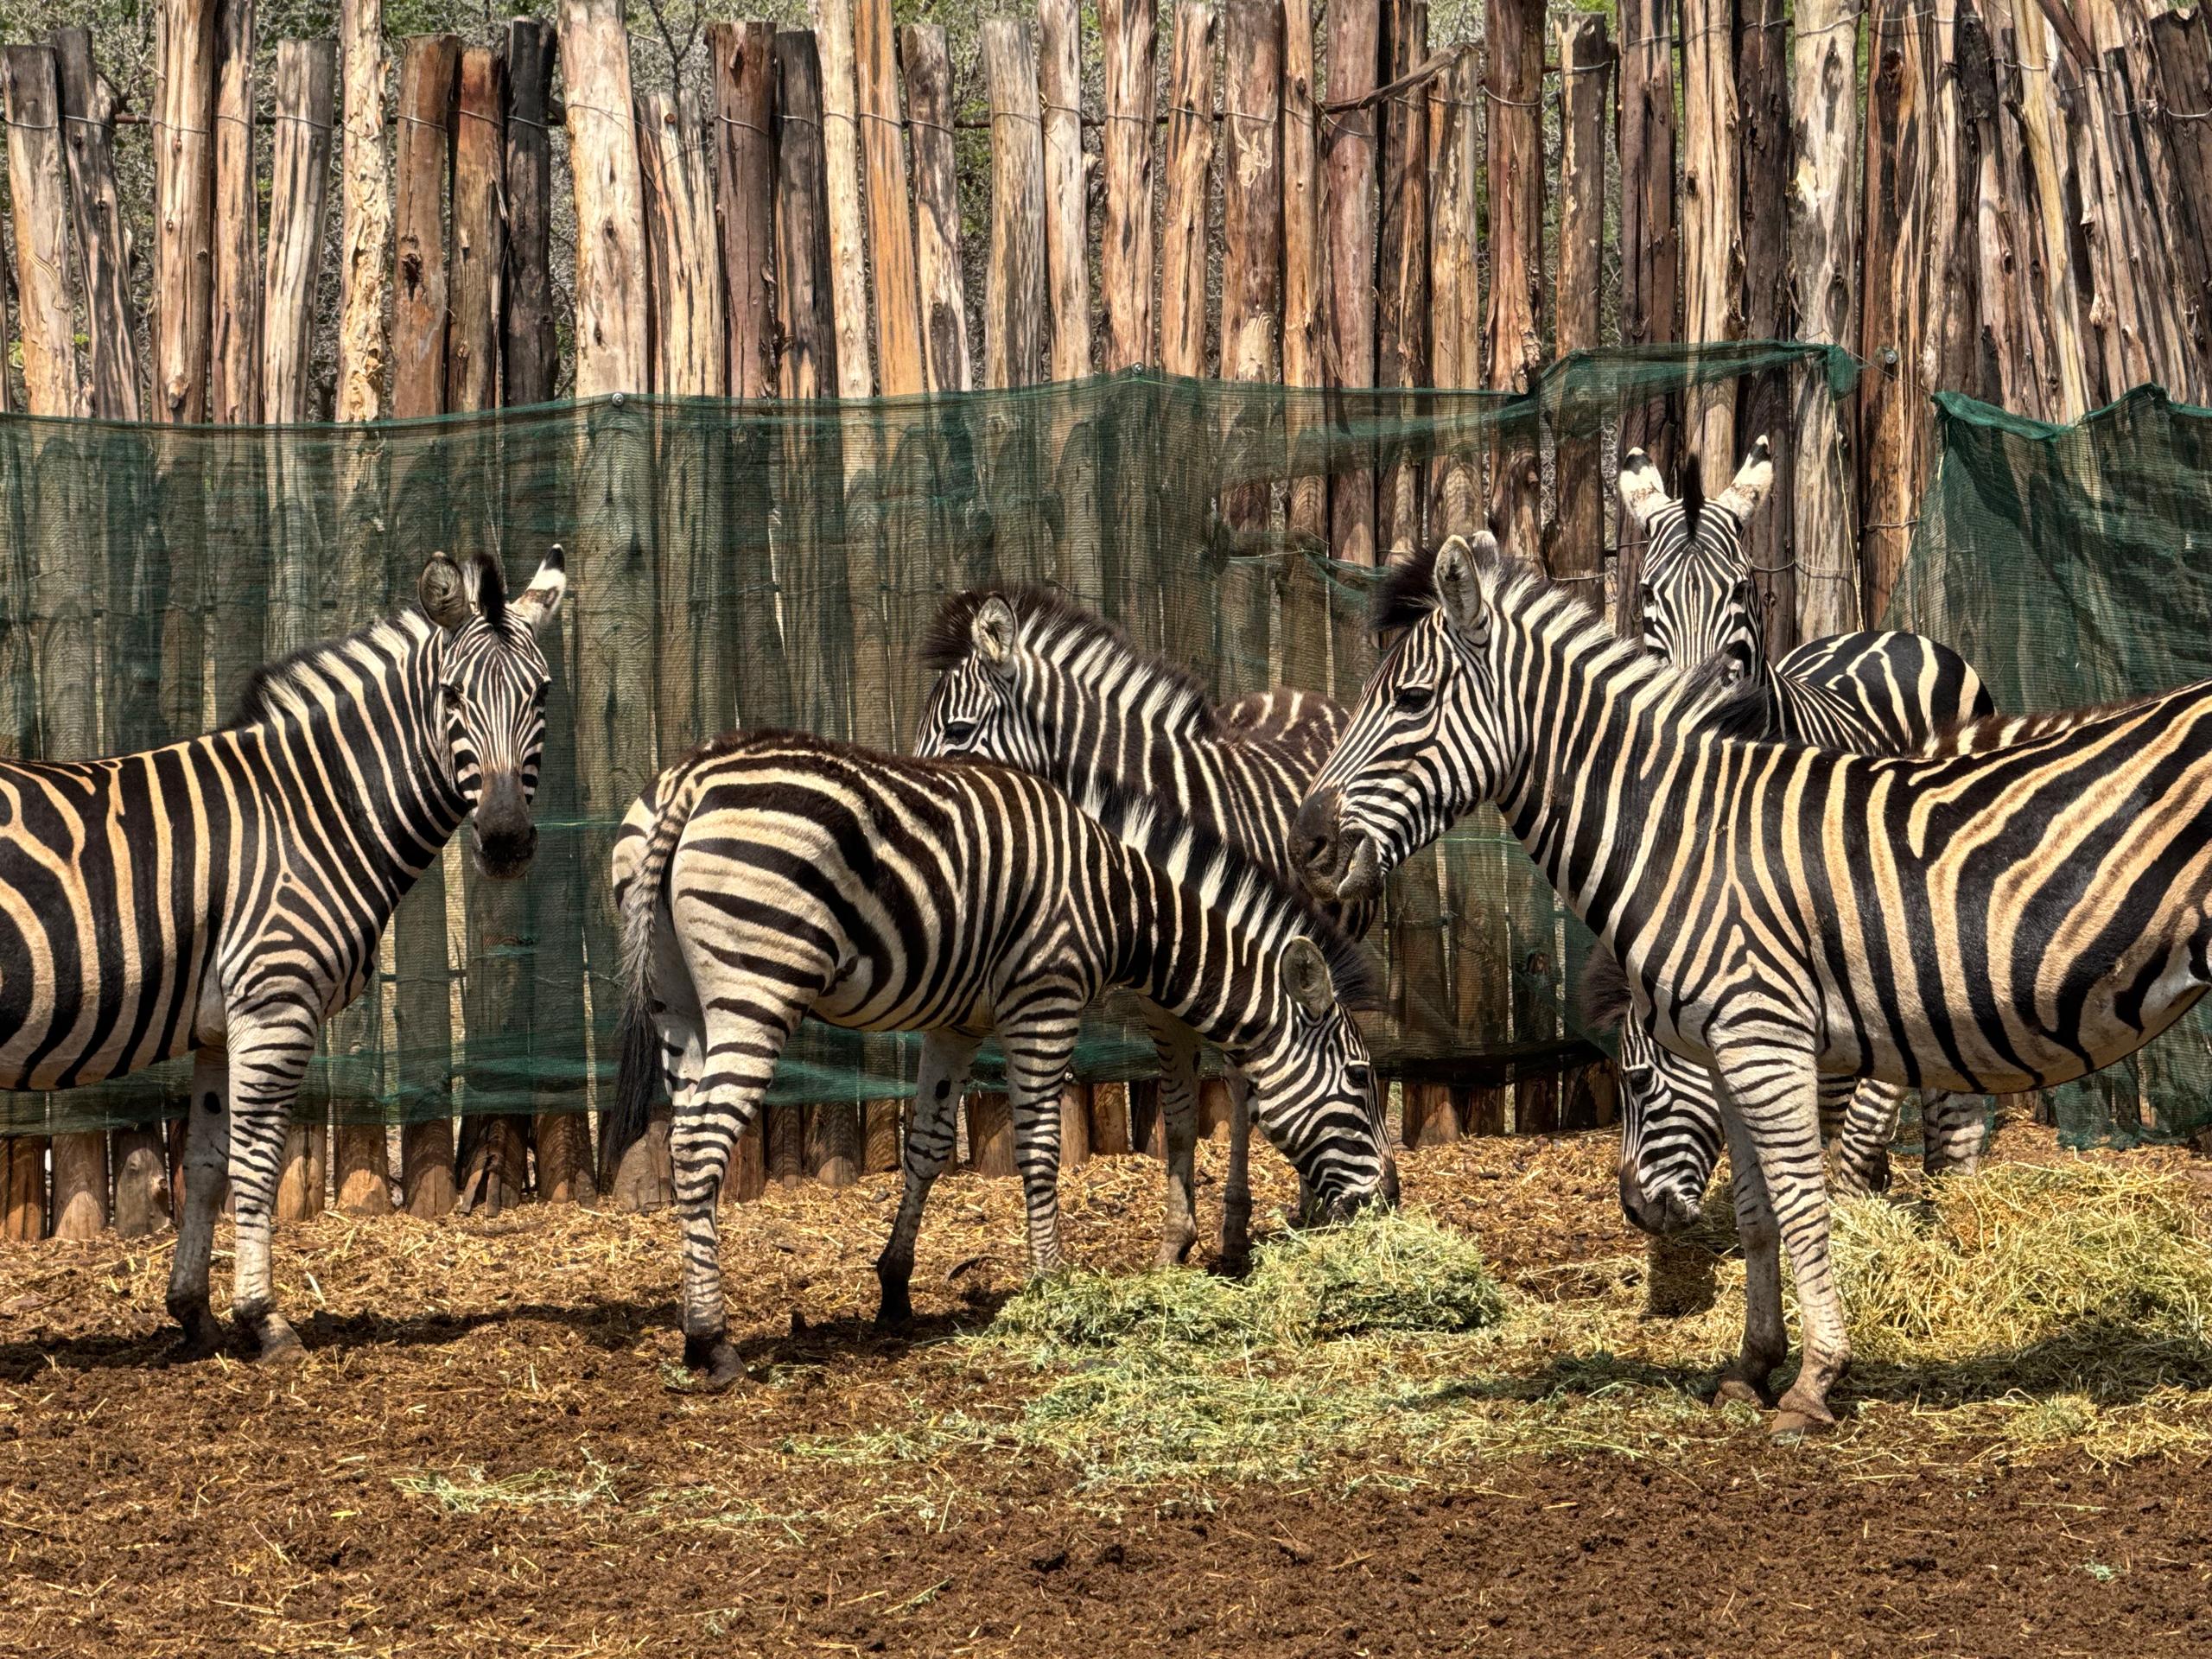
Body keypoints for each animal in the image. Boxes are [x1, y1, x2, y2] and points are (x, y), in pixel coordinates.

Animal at [1, 549, 567, 1360]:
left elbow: (207, 1164)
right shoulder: (277, 1001)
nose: (506, 840)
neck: (314, 812)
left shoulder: (219, 1023)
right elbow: (257, 1161)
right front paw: (264, 1319)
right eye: (453, 696)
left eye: (542, 692)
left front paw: (194, 1313)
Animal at [602, 728, 1389, 1387]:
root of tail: (693, 778)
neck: (1124, 904)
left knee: (683, 1138)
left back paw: (692, 1329)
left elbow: (925, 1148)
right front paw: (1050, 1284)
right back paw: (714, 1343)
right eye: (1360, 1080)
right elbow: (1037, 1149)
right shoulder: (1046, 998)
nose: (1391, 1201)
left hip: (678, 1004)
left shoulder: (956, 1024)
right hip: (759, 978)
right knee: (701, 1144)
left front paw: (895, 1287)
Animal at [913, 586, 1373, 1271]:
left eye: (959, 731)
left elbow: (1247, 1093)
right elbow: (1178, 1114)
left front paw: (1234, 1233)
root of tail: (1301, 692)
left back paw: (1308, 1204)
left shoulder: (1242, 957)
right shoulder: (1165, 987)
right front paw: (1175, 1241)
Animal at [1293, 532, 2212, 1433]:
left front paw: (1815, 1382)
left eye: (1412, 700)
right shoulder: (1726, 1053)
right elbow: (1755, 1212)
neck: (1683, 835)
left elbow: (1804, 1206)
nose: (1307, 846)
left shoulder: (1767, 1042)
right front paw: (1751, 1367)